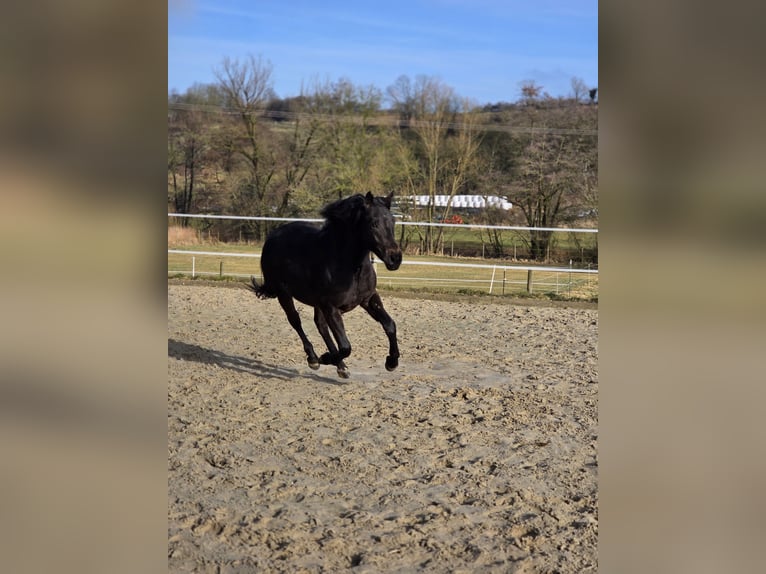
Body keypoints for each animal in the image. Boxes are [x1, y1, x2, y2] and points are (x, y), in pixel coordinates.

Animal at [250, 192, 408, 378]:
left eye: (393, 221)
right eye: (374, 223)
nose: (395, 258)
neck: (349, 267)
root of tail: (273, 236)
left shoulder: (368, 299)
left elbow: (390, 325)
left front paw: (391, 362)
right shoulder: (331, 307)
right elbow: (346, 346)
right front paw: (325, 358)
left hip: (317, 303)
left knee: (320, 325)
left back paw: (340, 366)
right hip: (284, 294)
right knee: (296, 321)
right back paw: (314, 359)